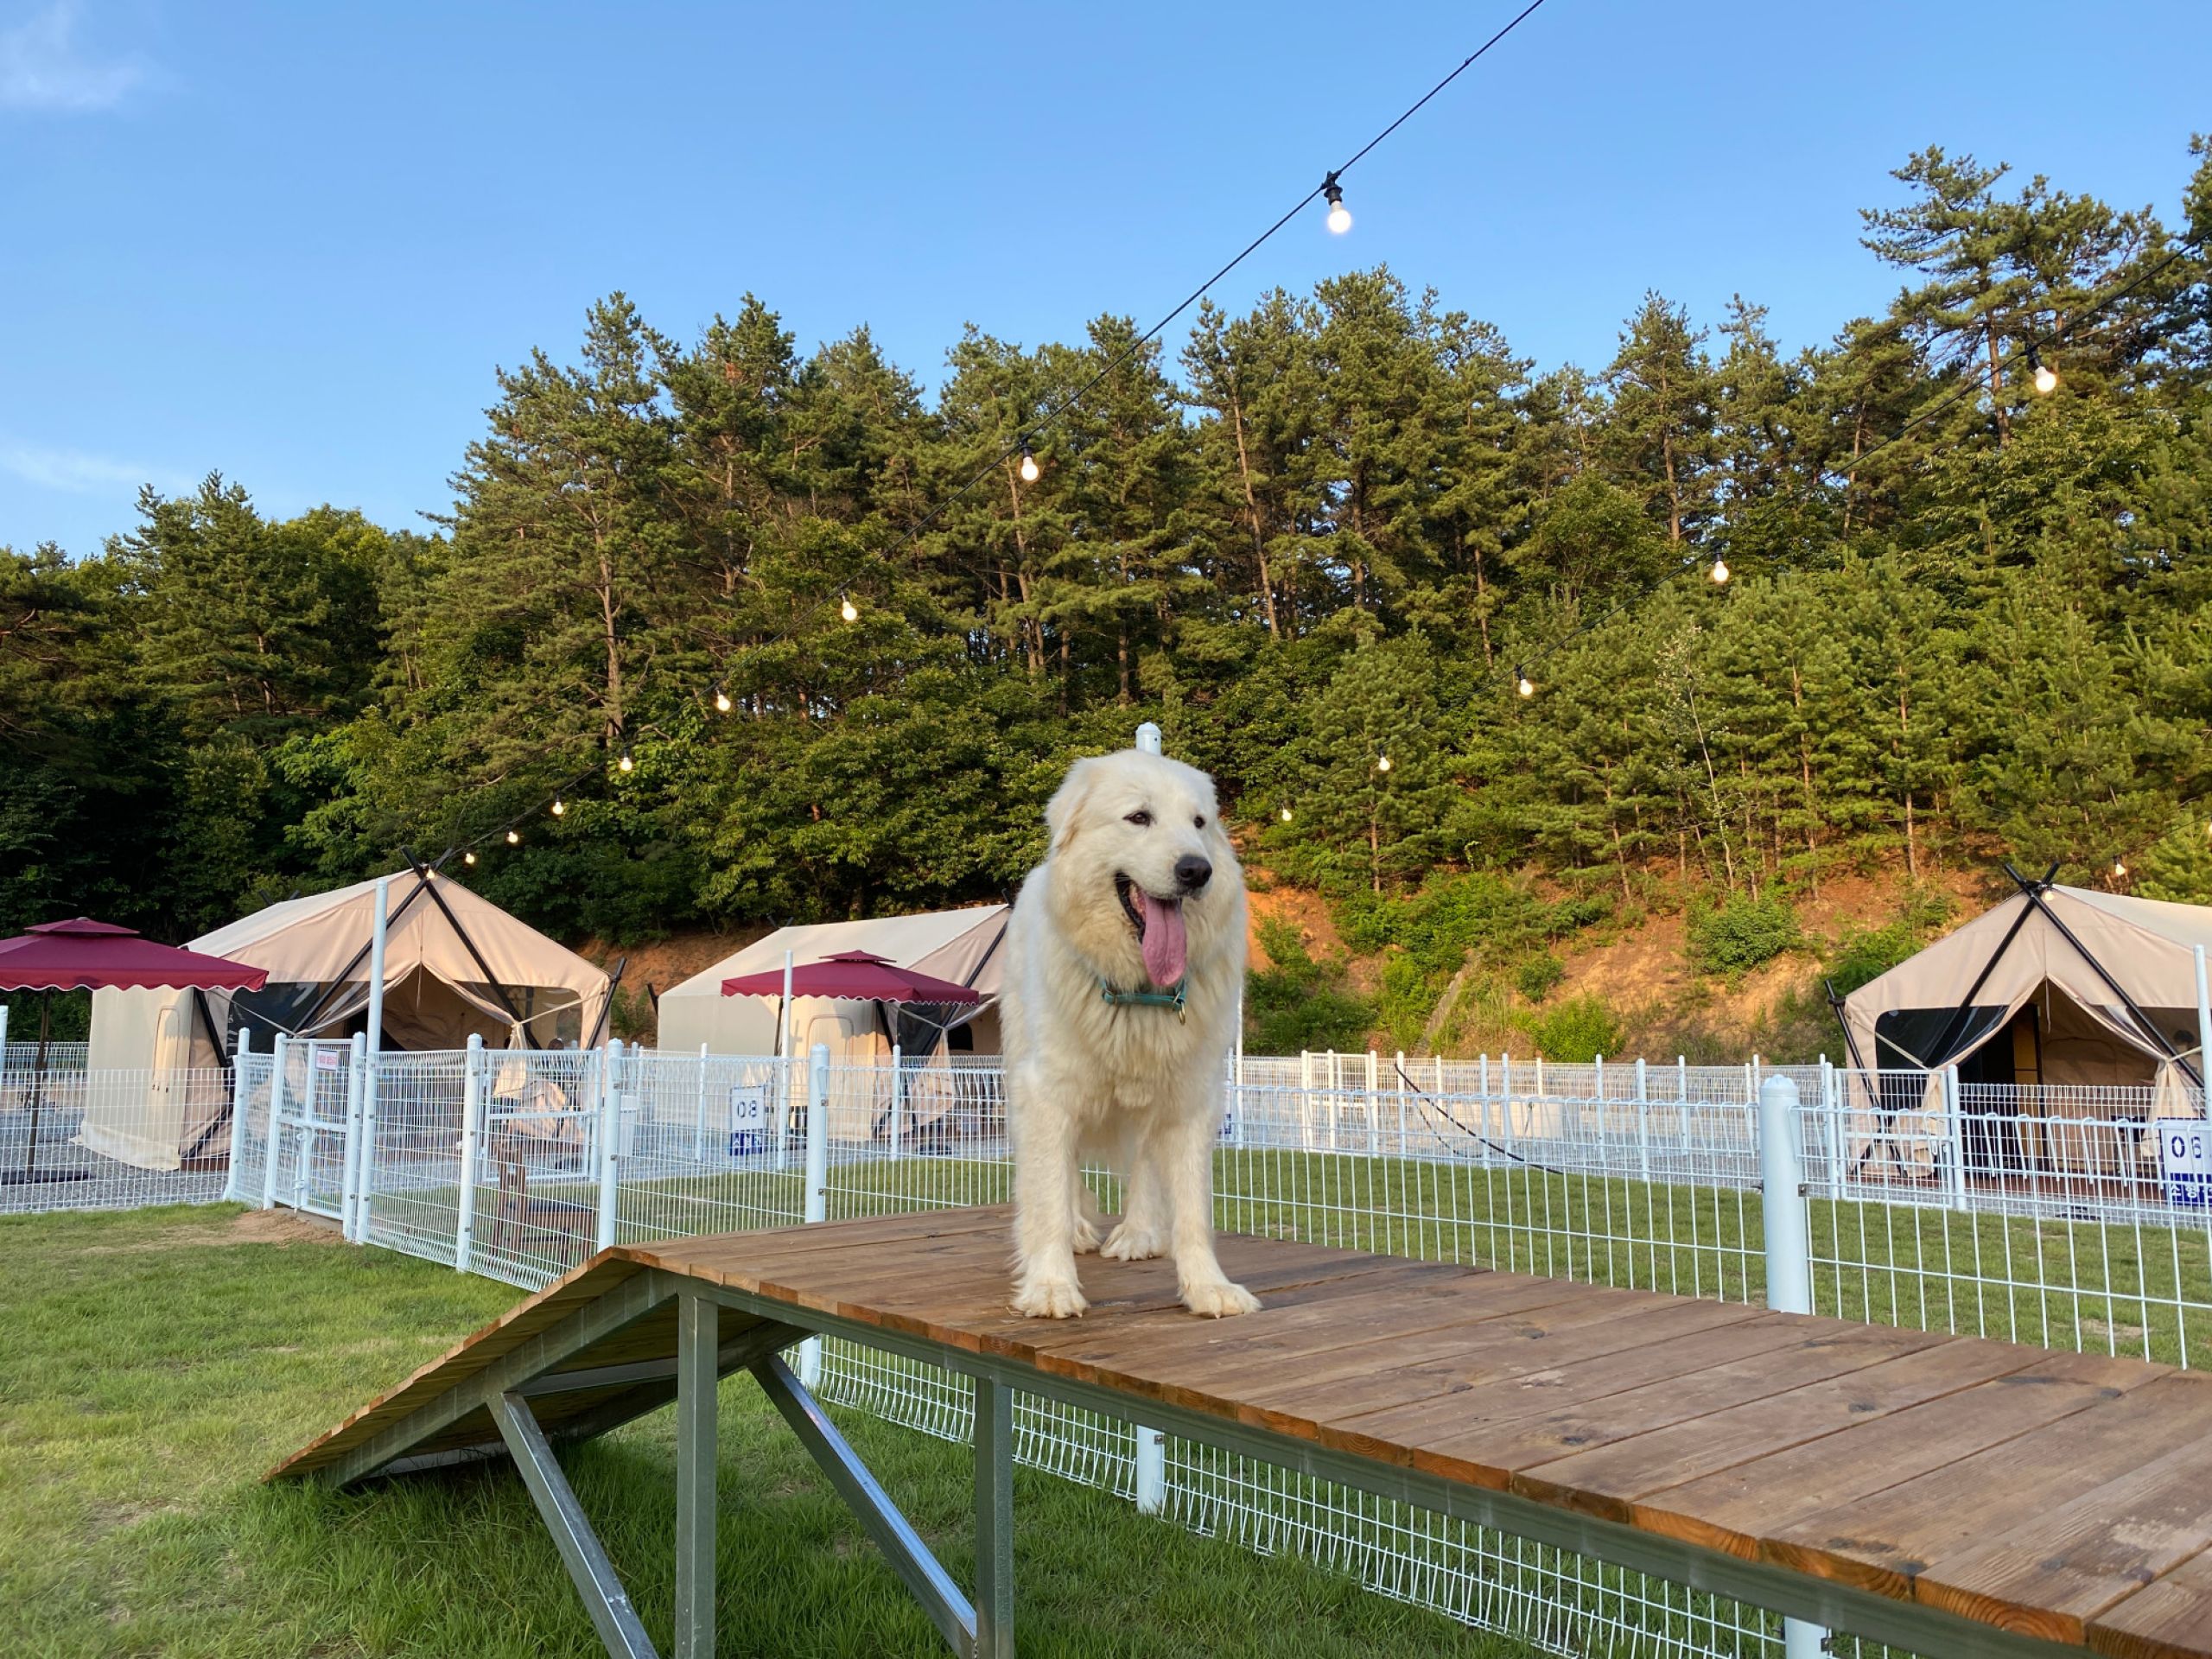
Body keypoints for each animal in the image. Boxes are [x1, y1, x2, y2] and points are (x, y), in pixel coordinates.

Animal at [1000, 746, 1258, 1320]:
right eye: (1139, 818)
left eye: (1199, 823)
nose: (1196, 870)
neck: (1139, 991)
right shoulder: (1048, 1092)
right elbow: (1049, 1190)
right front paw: (1050, 1286)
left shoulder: (1192, 1099)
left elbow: (1193, 1210)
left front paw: (1208, 1287)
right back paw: (1077, 1231)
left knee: (1143, 1162)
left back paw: (1139, 1234)